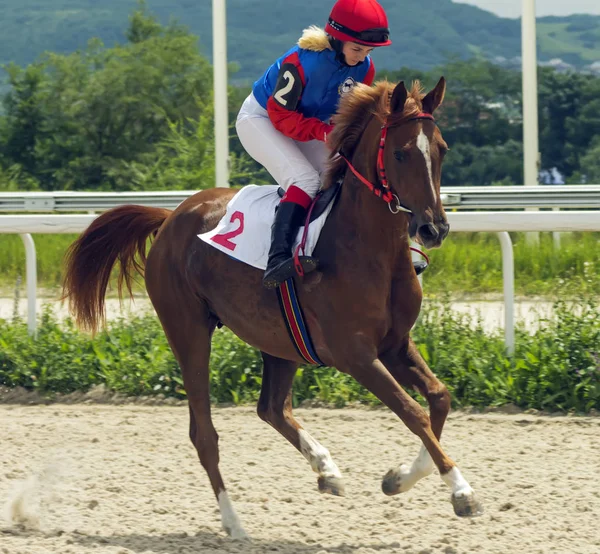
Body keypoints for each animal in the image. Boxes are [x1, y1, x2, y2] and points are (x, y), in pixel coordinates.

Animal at [62, 78, 482, 540]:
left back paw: (326, 469)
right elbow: (413, 412)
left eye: (441, 148)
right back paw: (234, 523)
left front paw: (401, 477)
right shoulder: (356, 355)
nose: (433, 228)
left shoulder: (394, 344)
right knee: (204, 434)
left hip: (281, 341)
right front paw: (461, 491)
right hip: (188, 331)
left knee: (272, 408)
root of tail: (170, 216)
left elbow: (439, 399)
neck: (368, 249)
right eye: (401, 153)